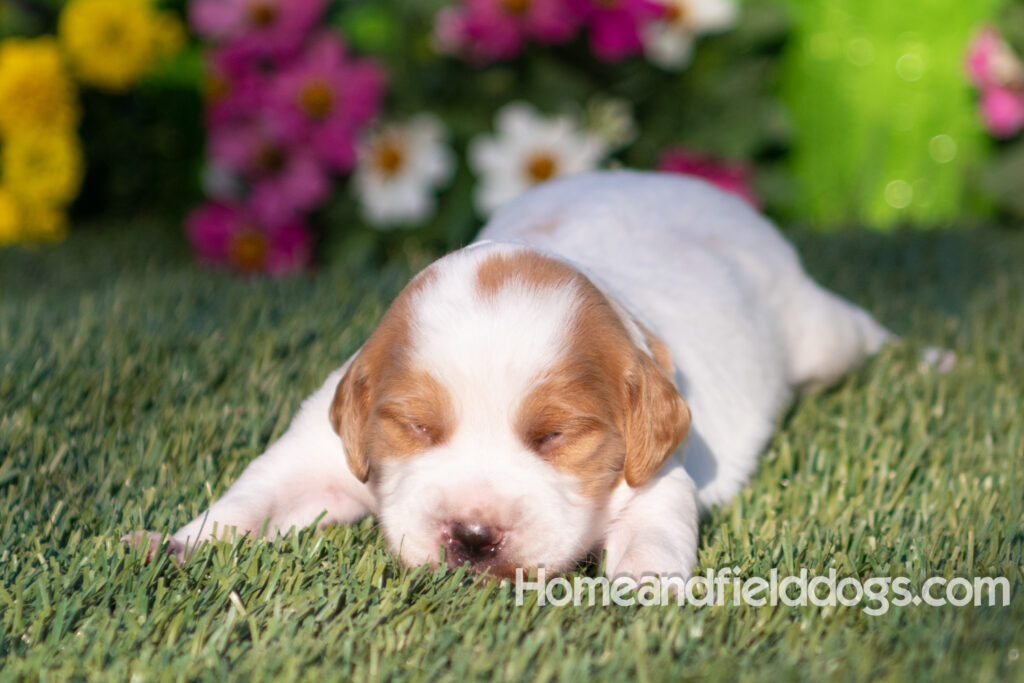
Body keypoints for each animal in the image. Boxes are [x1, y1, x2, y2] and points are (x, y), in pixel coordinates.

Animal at [125, 169, 888, 577]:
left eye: (555, 435)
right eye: (416, 426)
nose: (471, 536)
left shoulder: (655, 471)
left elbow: (658, 526)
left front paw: (648, 588)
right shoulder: (321, 447)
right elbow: (255, 495)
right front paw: (176, 542)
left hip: (818, 331)